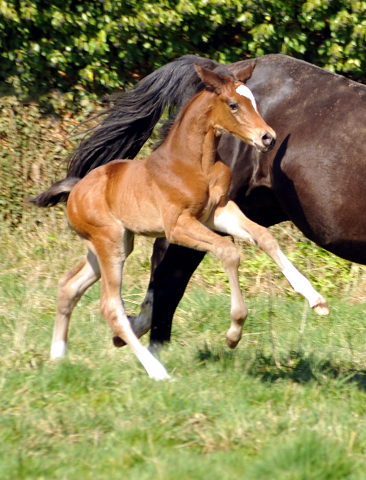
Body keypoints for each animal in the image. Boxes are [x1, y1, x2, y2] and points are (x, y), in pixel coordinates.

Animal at [32, 63, 328, 378]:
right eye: (233, 104)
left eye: (254, 101)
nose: (268, 138)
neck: (194, 162)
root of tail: (75, 189)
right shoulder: (177, 226)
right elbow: (228, 251)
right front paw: (234, 332)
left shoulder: (218, 212)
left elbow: (264, 237)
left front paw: (316, 299)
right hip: (109, 244)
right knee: (110, 306)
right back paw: (157, 372)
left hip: (113, 245)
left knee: (69, 285)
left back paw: (58, 357)